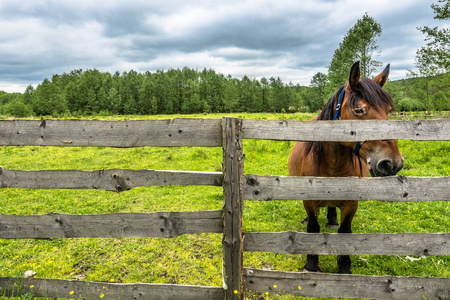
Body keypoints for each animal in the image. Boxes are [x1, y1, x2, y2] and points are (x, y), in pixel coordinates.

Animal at [286, 61, 406, 274]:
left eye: (388, 110)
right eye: (358, 110)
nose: (393, 162)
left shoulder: (351, 204)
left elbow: (345, 232)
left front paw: (344, 267)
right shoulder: (309, 200)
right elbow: (313, 229)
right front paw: (311, 264)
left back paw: (332, 220)